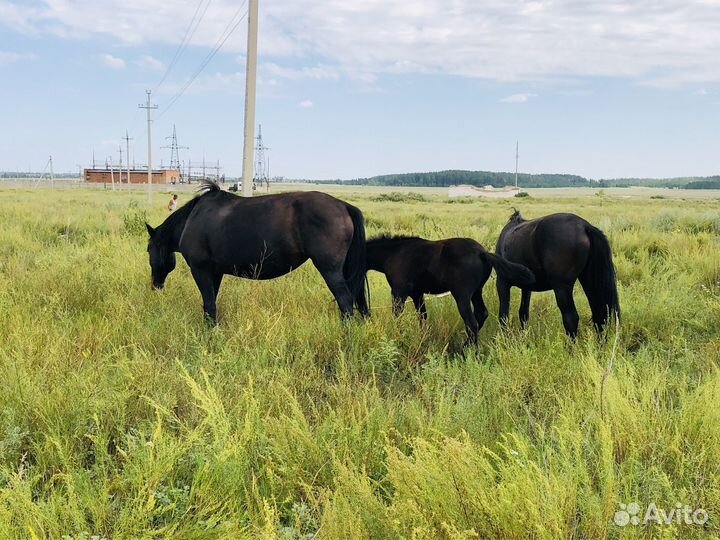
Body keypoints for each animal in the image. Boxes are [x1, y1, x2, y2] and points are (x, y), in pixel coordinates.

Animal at [145, 180, 369, 323]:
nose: (155, 285)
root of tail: (343, 206)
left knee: (345, 302)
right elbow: (211, 303)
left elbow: (209, 304)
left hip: (330, 270)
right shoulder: (215, 272)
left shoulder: (201, 271)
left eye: (149, 250)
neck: (192, 219)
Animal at [366, 235, 535, 345]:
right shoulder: (417, 294)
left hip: (462, 295)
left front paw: (398, 337)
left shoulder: (398, 292)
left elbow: (397, 317)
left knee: (472, 323)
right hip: (476, 292)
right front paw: (422, 338)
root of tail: (482, 253)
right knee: (482, 314)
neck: (394, 253)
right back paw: (465, 346)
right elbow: (422, 317)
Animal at [495, 210, 620, 338]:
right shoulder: (527, 287)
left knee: (571, 319)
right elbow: (523, 313)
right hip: (589, 282)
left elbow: (503, 314)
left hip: (562, 287)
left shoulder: (502, 282)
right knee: (600, 317)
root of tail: (585, 226)